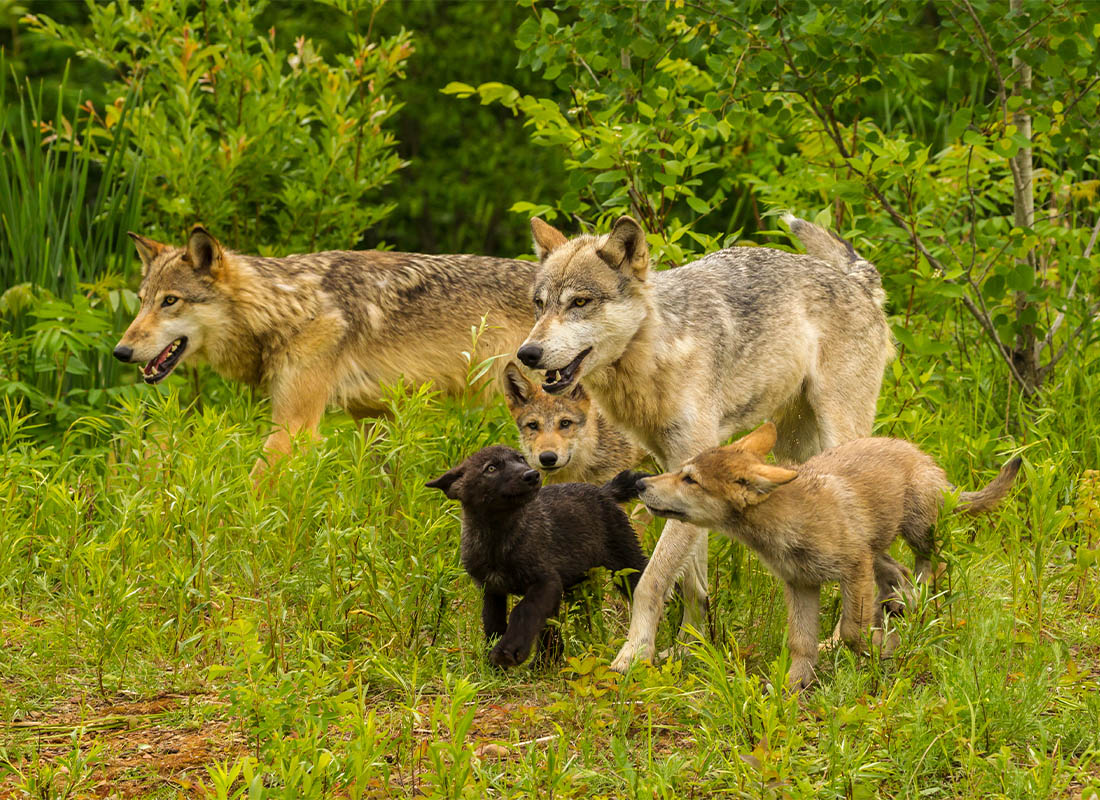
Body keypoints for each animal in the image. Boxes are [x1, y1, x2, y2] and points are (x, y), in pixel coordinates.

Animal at [113, 226, 535, 476]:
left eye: (170, 301)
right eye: (142, 301)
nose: (121, 351)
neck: (287, 308)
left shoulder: (294, 428)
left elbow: (251, 496)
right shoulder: (373, 417)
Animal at [426, 445, 649, 668]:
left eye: (521, 459)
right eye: (491, 468)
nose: (532, 475)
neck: (498, 538)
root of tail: (604, 491)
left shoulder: (546, 581)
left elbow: (524, 610)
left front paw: (508, 651)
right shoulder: (490, 589)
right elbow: (492, 623)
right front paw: (493, 665)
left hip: (626, 564)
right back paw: (544, 663)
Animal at [633, 422, 1022, 688]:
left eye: (690, 479)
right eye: (680, 471)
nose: (639, 483)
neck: (790, 522)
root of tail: (924, 457)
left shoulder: (853, 567)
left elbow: (851, 630)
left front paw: (880, 648)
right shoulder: (801, 583)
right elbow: (802, 642)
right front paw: (793, 686)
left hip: (917, 532)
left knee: (931, 568)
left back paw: (920, 609)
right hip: (877, 550)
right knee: (898, 574)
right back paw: (903, 609)